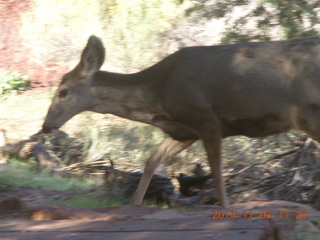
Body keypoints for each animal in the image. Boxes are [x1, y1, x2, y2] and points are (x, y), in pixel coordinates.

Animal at [43, 34, 320, 207]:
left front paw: (225, 208)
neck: (157, 96)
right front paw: (134, 204)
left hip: (309, 114)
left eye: (63, 92)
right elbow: (152, 161)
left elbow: (217, 171)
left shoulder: (206, 118)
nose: (46, 126)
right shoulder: (185, 131)